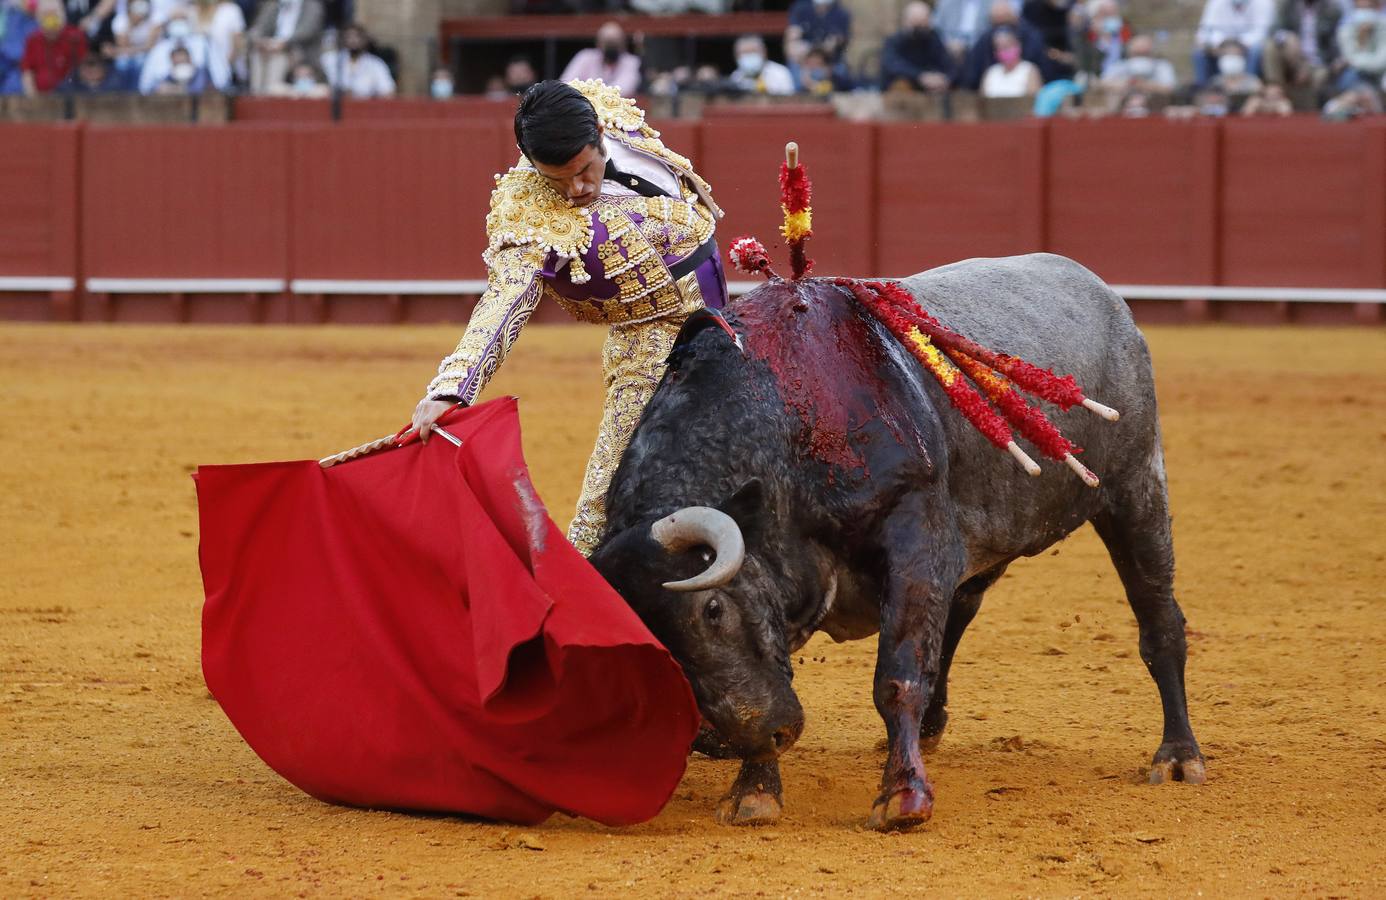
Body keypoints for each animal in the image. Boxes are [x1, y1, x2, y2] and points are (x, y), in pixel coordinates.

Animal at [590, 251, 1208, 826]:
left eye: (713, 609)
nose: (760, 736)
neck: (788, 419)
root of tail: (1104, 295)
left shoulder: (915, 534)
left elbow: (898, 674)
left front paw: (903, 798)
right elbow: (789, 664)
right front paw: (754, 790)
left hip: (1135, 489)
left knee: (1158, 618)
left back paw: (1178, 756)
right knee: (959, 613)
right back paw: (930, 728)